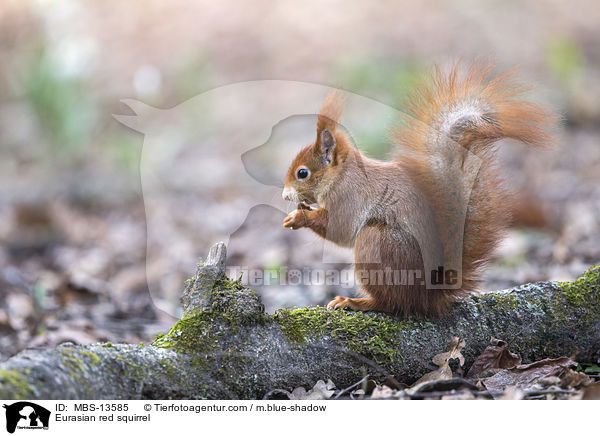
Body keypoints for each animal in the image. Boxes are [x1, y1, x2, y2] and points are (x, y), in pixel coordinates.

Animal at [282, 63, 556, 316]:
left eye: (302, 173)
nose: (285, 195)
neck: (341, 174)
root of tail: (428, 294)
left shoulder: (349, 197)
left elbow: (340, 229)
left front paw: (299, 216)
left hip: (377, 244)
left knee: (392, 303)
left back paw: (356, 302)